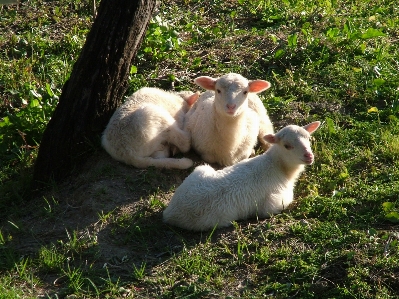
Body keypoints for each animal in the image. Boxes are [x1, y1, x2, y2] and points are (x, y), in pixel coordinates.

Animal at [162, 121, 322, 232]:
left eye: (308, 138)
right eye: (287, 146)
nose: (309, 156)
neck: (278, 166)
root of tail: (170, 213)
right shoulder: (275, 202)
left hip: (201, 170)